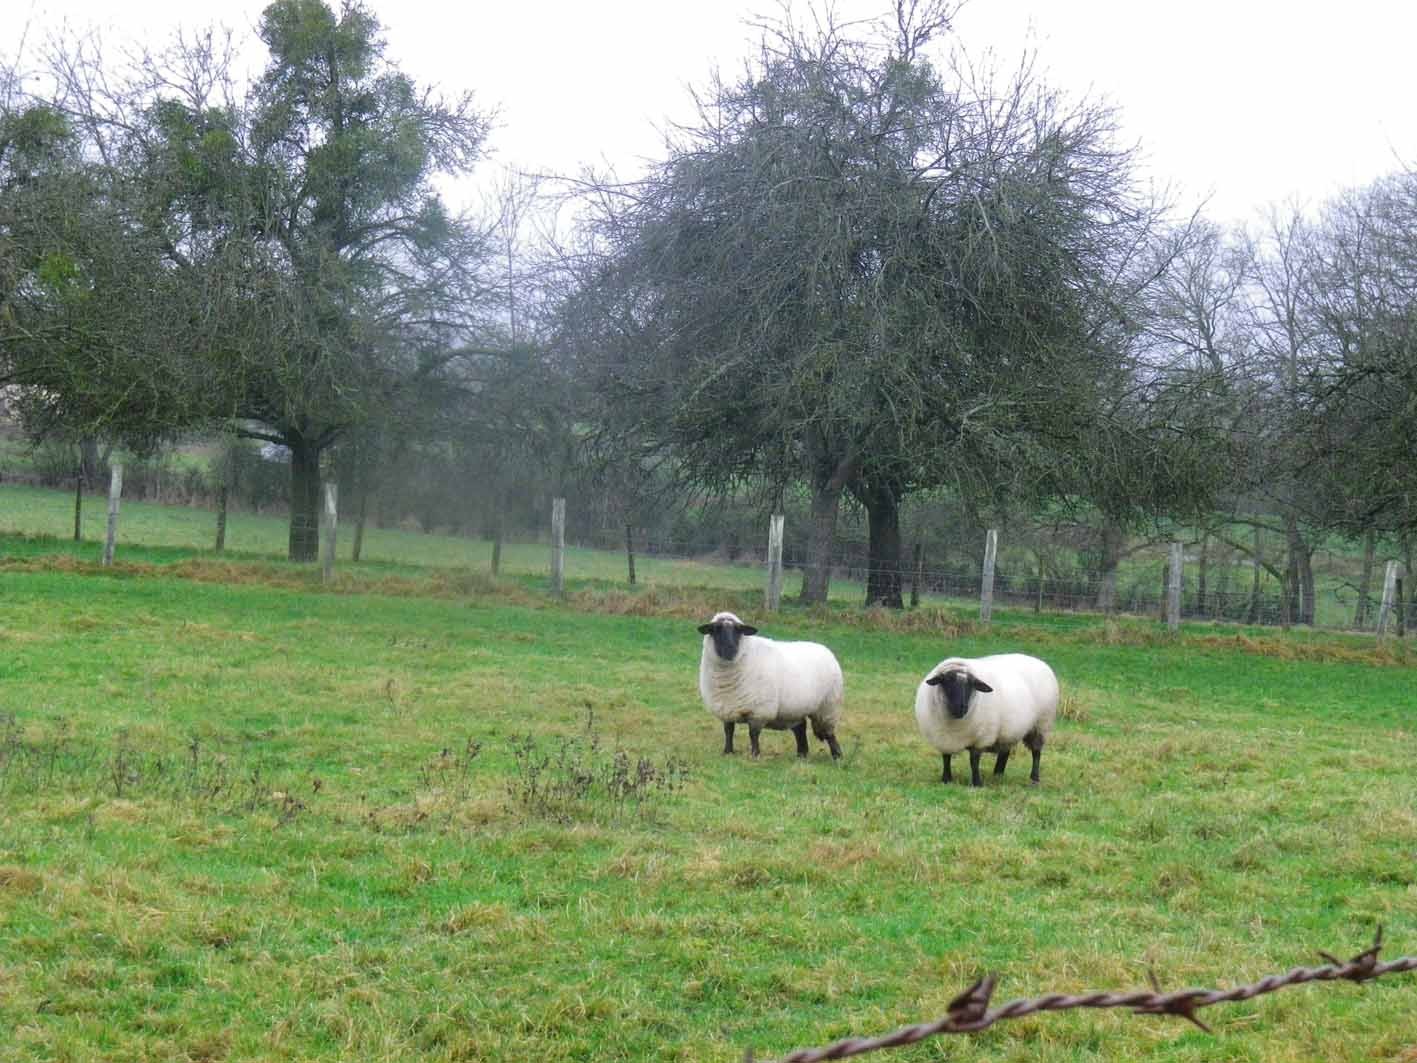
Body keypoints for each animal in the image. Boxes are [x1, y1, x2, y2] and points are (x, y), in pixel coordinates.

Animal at [697, 612, 838, 759]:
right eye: (715, 630)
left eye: (739, 630)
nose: (730, 650)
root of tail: (825, 649)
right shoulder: (727, 710)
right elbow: (728, 731)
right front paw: (727, 752)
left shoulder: (759, 711)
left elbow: (753, 734)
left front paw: (755, 755)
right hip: (795, 709)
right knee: (800, 728)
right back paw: (802, 754)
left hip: (827, 706)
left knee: (829, 733)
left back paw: (837, 756)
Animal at [912, 654, 1059, 788]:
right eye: (946, 681)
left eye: (971, 685)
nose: (961, 707)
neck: (954, 725)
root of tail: (1039, 661)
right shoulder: (943, 739)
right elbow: (946, 758)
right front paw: (946, 779)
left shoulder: (980, 738)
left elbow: (974, 760)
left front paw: (977, 783)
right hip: (1009, 729)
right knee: (1005, 751)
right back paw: (998, 774)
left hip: (1041, 724)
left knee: (1036, 752)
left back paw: (1034, 779)